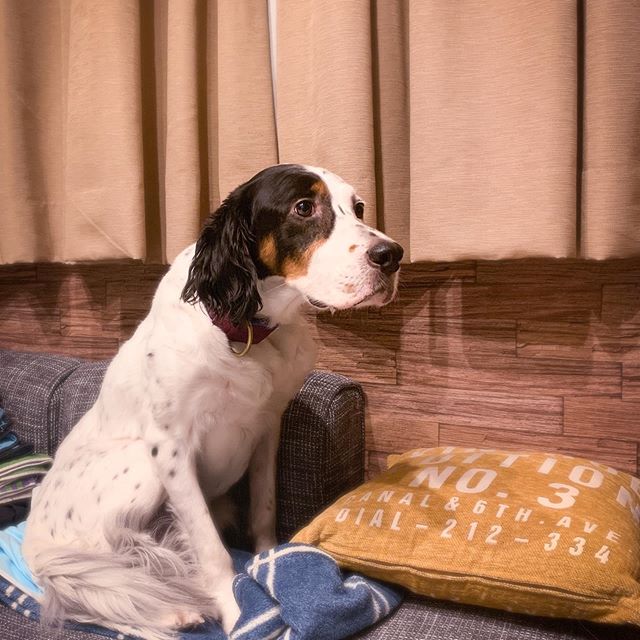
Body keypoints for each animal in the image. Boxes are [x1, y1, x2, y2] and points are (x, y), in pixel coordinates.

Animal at [26, 166, 404, 640]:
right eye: (303, 208)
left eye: (359, 208)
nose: (392, 254)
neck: (244, 329)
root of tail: (33, 537)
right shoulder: (170, 448)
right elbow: (209, 546)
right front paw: (235, 607)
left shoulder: (268, 428)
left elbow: (263, 508)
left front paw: (267, 560)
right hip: (136, 471)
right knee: (93, 578)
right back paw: (167, 612)